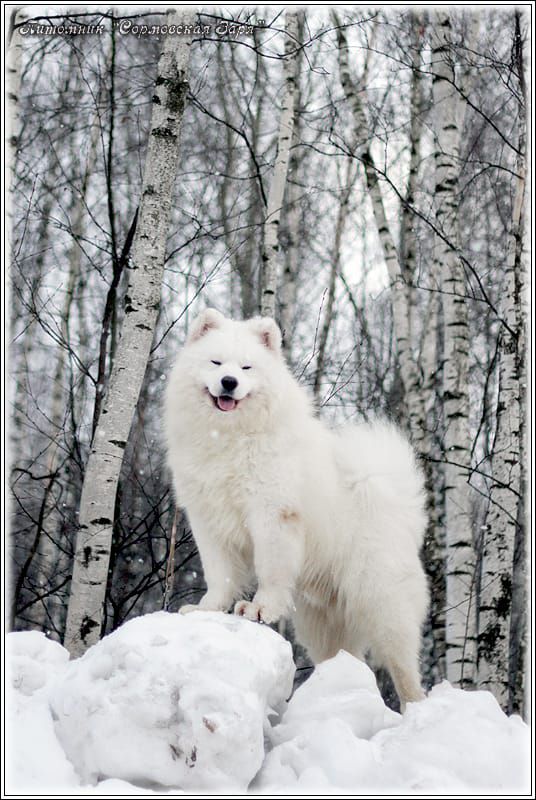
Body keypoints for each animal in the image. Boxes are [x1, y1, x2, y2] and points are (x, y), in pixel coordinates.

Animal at [165, 310, 430, 708]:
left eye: (246, 367)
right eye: (216, 363)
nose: (229, 382)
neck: (230, 437)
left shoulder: (271, 516)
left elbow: (270, 572)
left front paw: (259, 609)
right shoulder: (209, 521)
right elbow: (219, 574)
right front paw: (207, 608)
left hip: (381, 604)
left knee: (405, 670)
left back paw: (416, 708)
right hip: (322, 622)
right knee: (343, 657)